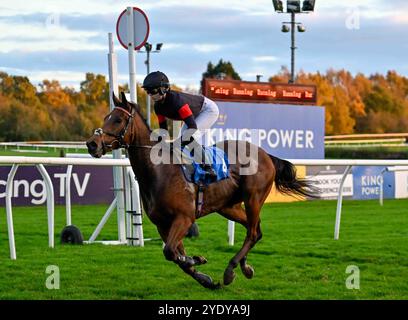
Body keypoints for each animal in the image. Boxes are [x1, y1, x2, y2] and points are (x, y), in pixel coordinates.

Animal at [85, 92, 316, 290]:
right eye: (106, 117)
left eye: (117, 120)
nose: (92, 144)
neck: (159, 171)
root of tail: (266, 155)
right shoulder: (162, 225)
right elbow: (175, 255)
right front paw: (205, 278)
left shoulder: (184, 218)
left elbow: (170, 252)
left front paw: (197, 259)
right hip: (228, 206)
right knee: (255, 230)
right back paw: (245, 267)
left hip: (253, 198)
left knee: (252, 232)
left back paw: (231, 269)